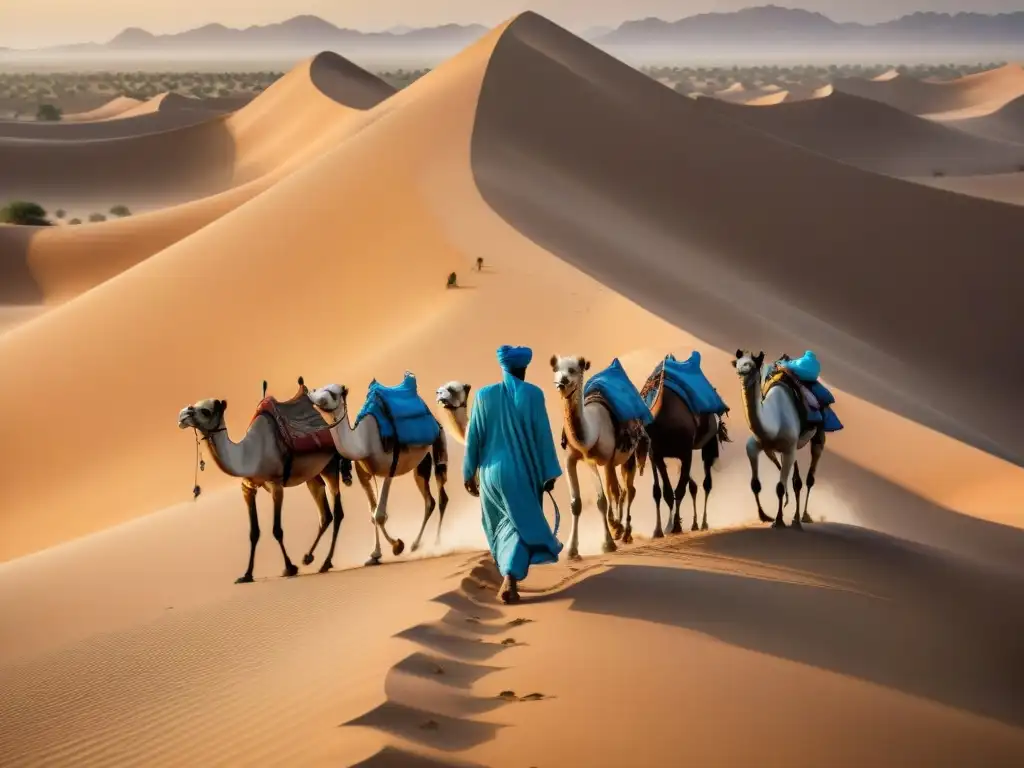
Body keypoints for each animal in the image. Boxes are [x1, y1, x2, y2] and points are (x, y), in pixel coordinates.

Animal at [176, 378, 352, 581]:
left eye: (206, 411)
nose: (182, 415)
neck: (249, 453)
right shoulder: (247, 486)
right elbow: (254, 532)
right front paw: (246, 575)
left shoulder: (276, 485)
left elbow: (277, 530)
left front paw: (289, 568)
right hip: (312, 474)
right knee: (325, 515)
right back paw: (309, 557)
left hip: (330, 464)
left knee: (338, 512)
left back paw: (326, 562)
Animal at [305, 382, 446, 565]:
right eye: (317, 389)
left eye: (332, 393)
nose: (310, 394)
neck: (364, 442)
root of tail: (434, 421)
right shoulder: (363, 474)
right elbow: (373, 514)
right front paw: (375, 554)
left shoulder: (389, 469)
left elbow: (379, 515)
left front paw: (397, 546)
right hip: (421, 464)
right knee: (429, 500)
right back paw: (417, 544)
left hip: (435, 449)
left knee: (438, 499)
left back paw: (431, 543)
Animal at [548, 354, 643, 561]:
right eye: (556, 369)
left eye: (574, 370)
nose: (562, 382)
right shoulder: (570, 459)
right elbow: (576, 503)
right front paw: (572, 550)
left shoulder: (597, 460)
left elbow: (602, 500)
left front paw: (608, 543)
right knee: (618, 490)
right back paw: (618, 528)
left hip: (626, 457)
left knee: (627, 490)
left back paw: (625, 532)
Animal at [733, 354, 827, 528]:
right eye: (737, 363)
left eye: (752, 365)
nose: (741, 372)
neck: (773, 425)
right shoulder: (755, 445)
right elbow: (755, 484)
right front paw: (764, 516)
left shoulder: (788, 449)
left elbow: (780, 488)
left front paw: (778, 521)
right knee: (796, 481)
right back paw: (796, 519)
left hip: (819, 434)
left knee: (809, 478)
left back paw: (804, 516)